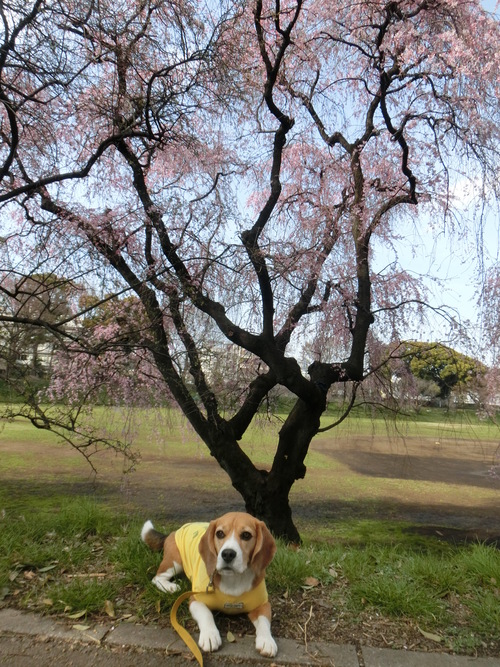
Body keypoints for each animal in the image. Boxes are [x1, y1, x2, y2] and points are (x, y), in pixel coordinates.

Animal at [142, 512, 278, 656]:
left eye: (246, 535)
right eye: (220, 533)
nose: (227, 554)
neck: (233, 579)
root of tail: (174, 531)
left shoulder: (263, 604)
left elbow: (264, 622)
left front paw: (267, 640)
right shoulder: (195, 599)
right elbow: (206, 614)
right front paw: (210, 636)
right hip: (175, 561)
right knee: (157, 578)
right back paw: (171, 587)